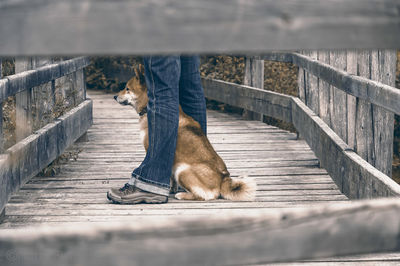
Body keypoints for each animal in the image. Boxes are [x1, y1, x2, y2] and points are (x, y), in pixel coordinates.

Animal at [114, 66, 255, 202]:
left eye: (127, 89)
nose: (115, 96)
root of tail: (223, 179)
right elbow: (170, 178)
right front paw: (171, 189)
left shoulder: (152, 149)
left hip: (182, 170)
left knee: (205, 196)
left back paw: (182, 195)